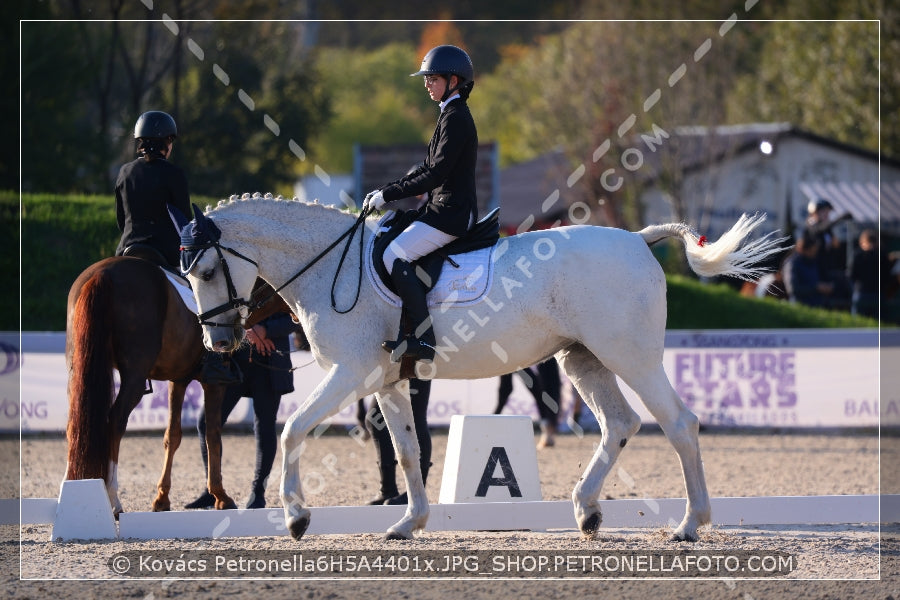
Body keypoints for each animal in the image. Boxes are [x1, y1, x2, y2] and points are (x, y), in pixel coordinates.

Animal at [174, 193, 780, 544]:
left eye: (205, 270)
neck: (330, 265)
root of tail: (636, 238)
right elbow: (407, 449)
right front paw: (408, 523)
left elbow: (293, 429)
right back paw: (586, 512)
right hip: (583, 358)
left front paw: (297, 519)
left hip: (629, 354)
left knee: (678, 424)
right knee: (620, 424)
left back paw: (688, 526)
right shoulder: (386, 381)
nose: (219, 341)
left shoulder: (349, 373)